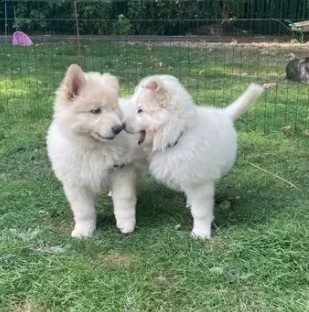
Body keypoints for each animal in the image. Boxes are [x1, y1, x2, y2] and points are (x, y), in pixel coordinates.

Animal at [46, 64, 146, 238]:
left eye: (113, 109)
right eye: (95, 111)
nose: (118, 128)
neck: (93, 147)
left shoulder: (122, 170)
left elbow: (124, 200)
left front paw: (126, 224)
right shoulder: (75, 183)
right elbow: (83, 210)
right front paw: (83, 230)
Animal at [124, 75, 264, 239]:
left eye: (140, 110)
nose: (121, 125)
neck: (179, 135)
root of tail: (223, 113)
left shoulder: (200, 183)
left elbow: (200, 212)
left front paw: (200, 233)